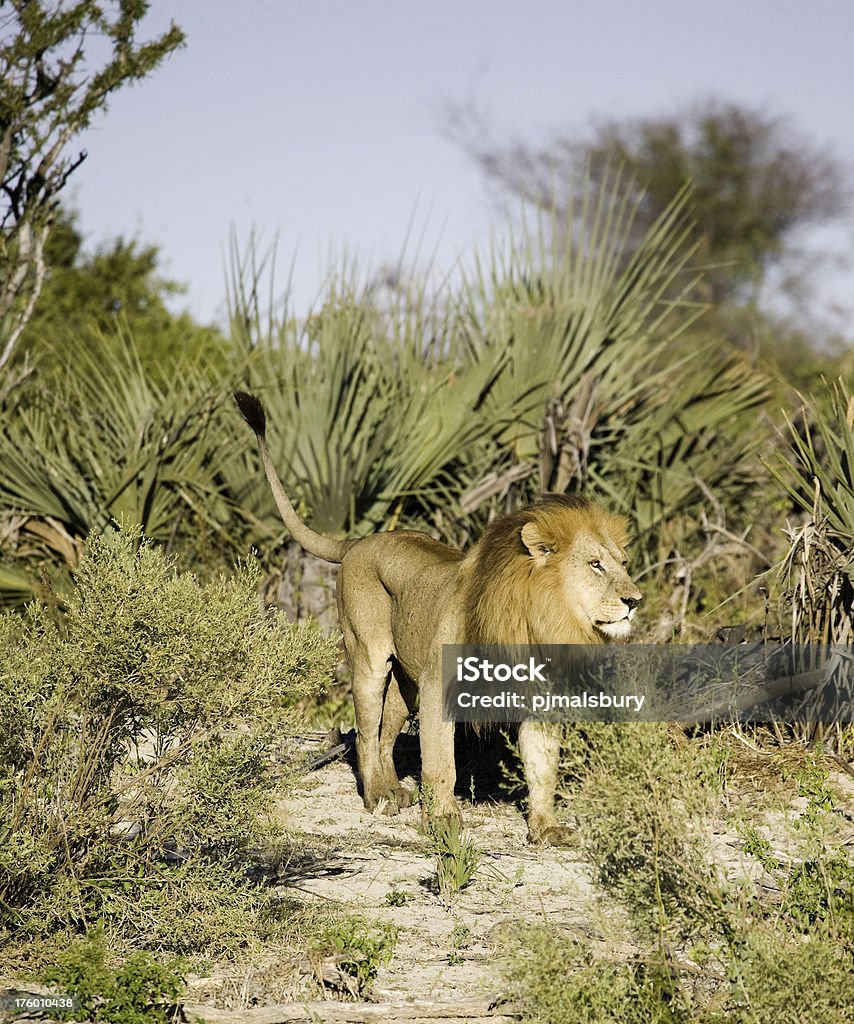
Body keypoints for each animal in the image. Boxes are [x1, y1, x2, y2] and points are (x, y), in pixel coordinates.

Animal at [233, 389, 638, 839]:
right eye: (596, 565)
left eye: (622, 563)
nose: (635, 600)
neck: (536, 622)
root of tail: (358, 541)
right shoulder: (437, 685)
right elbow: (442, 761)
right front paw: (443, 820)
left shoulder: (540, 696)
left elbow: (543, 766)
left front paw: (546, 827)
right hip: (370, 659)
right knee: (364, 736)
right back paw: (378, 797)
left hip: (405, 682)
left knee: (384, 736)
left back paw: (394, 789)